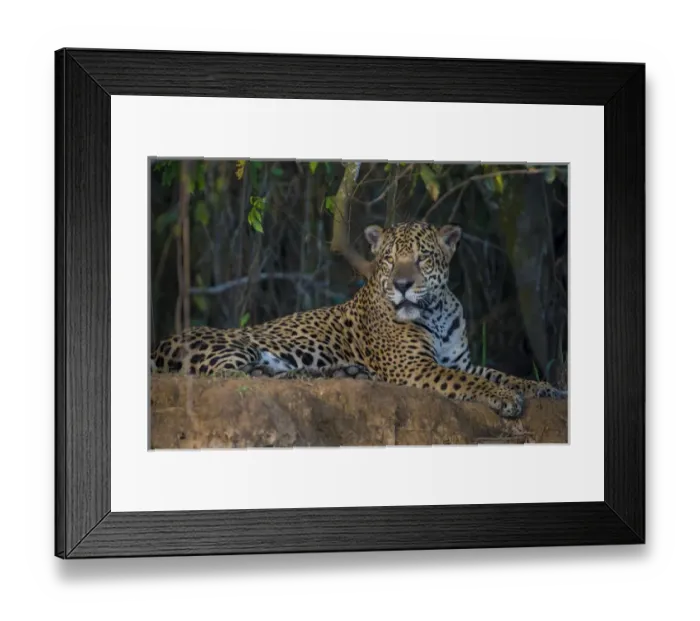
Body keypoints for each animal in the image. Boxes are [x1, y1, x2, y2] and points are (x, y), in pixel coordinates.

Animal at [151, 221, 567, 418]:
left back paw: (343, 372)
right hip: (235, 345)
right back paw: (324, 374)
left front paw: (544, 388)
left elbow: (496, 373)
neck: (436, 311)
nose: (402, 285)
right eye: (389, 260)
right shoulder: (414, 367)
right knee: (237, 375)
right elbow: (471, 382)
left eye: (422, 258)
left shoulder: (457, 360)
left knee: (262, 373)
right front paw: (507, 399)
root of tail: (157, 346)